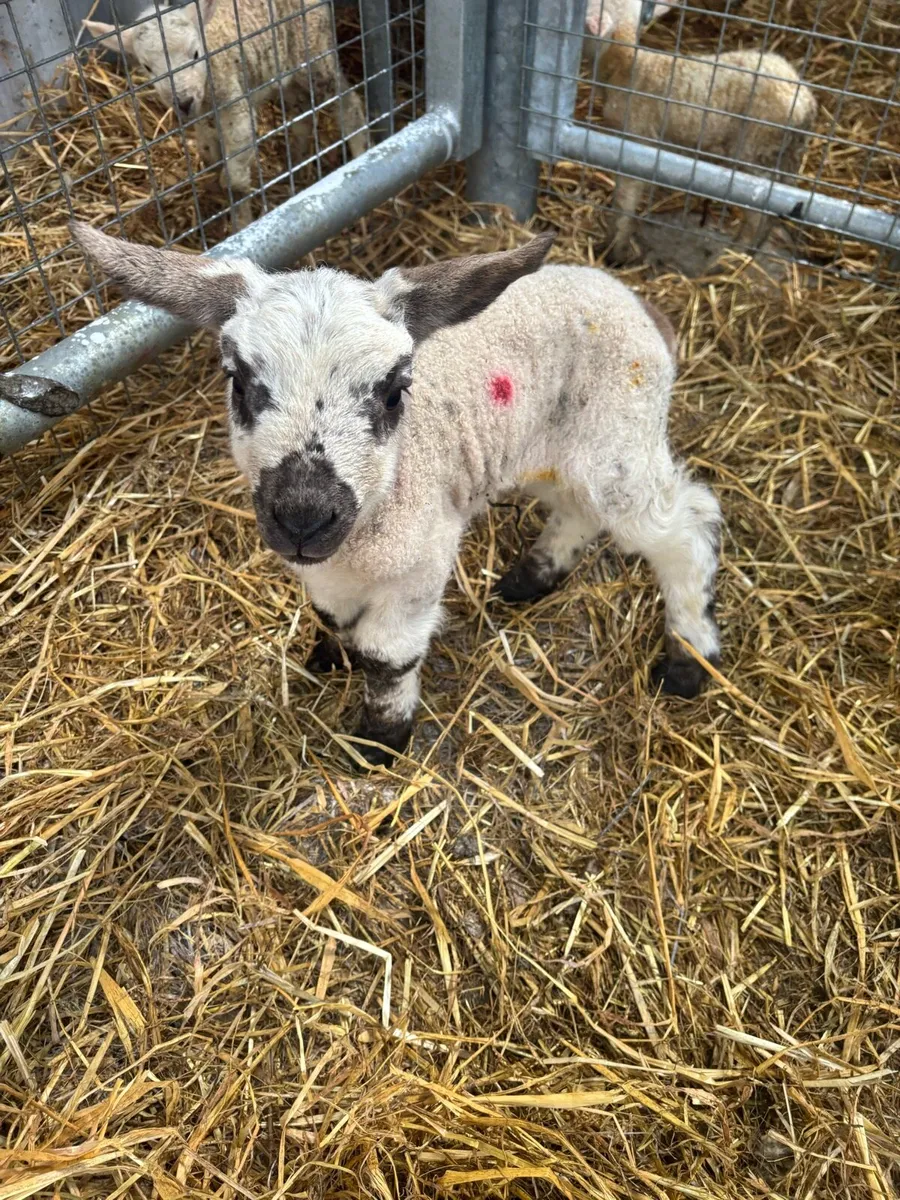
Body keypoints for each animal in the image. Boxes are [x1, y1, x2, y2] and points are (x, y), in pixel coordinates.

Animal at [71, 220, 723, 767]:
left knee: (685, 526)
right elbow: (332, 617)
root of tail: (639, 302)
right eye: (239, 381)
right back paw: (532, 576)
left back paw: (688, 659)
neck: (369, 520)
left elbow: (388, 656)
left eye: (393, 390)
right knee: (576, 507)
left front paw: (380, 742)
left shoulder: (420, 559)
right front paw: (331, 658)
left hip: (620, 430)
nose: (303, 515)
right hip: (562, 442)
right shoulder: (325, 567)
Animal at [84, 0, 368, 231]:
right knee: (302, 116)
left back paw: (360, 151)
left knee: (347, 102)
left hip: (314, 48)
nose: (183, 102)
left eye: (195, 54)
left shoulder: (235, 106)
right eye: (147, 67)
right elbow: (210, 155)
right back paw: (296, 165)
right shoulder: (204, 123)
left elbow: (235, 179)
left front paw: (240, 220)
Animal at [584, 0, 816, 264]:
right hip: (786, 155)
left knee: (759, 213)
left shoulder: (634, 141)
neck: (626, 63)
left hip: (756, 150)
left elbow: (624, 202)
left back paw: (732, 257)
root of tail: (805, 101)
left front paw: (615, 250)